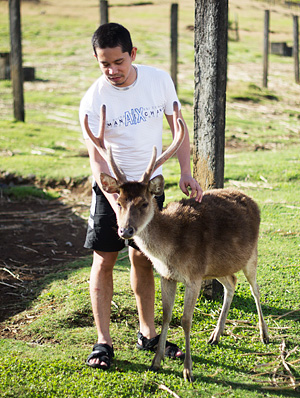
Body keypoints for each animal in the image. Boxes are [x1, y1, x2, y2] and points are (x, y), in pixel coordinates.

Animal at [84, 102, 270, 382]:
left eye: (144, 203)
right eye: (119, 202)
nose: (125, 230)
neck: (170, 252)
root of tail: (252, 199)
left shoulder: (193, 276)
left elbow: (185, 320)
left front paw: (188, 370)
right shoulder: (168, 275)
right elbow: (165, 315)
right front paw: (156, 361)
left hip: (252, 254)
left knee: (255, 288)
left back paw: (264, 334)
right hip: (218, 265)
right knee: (232, 283)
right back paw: (216, 335)